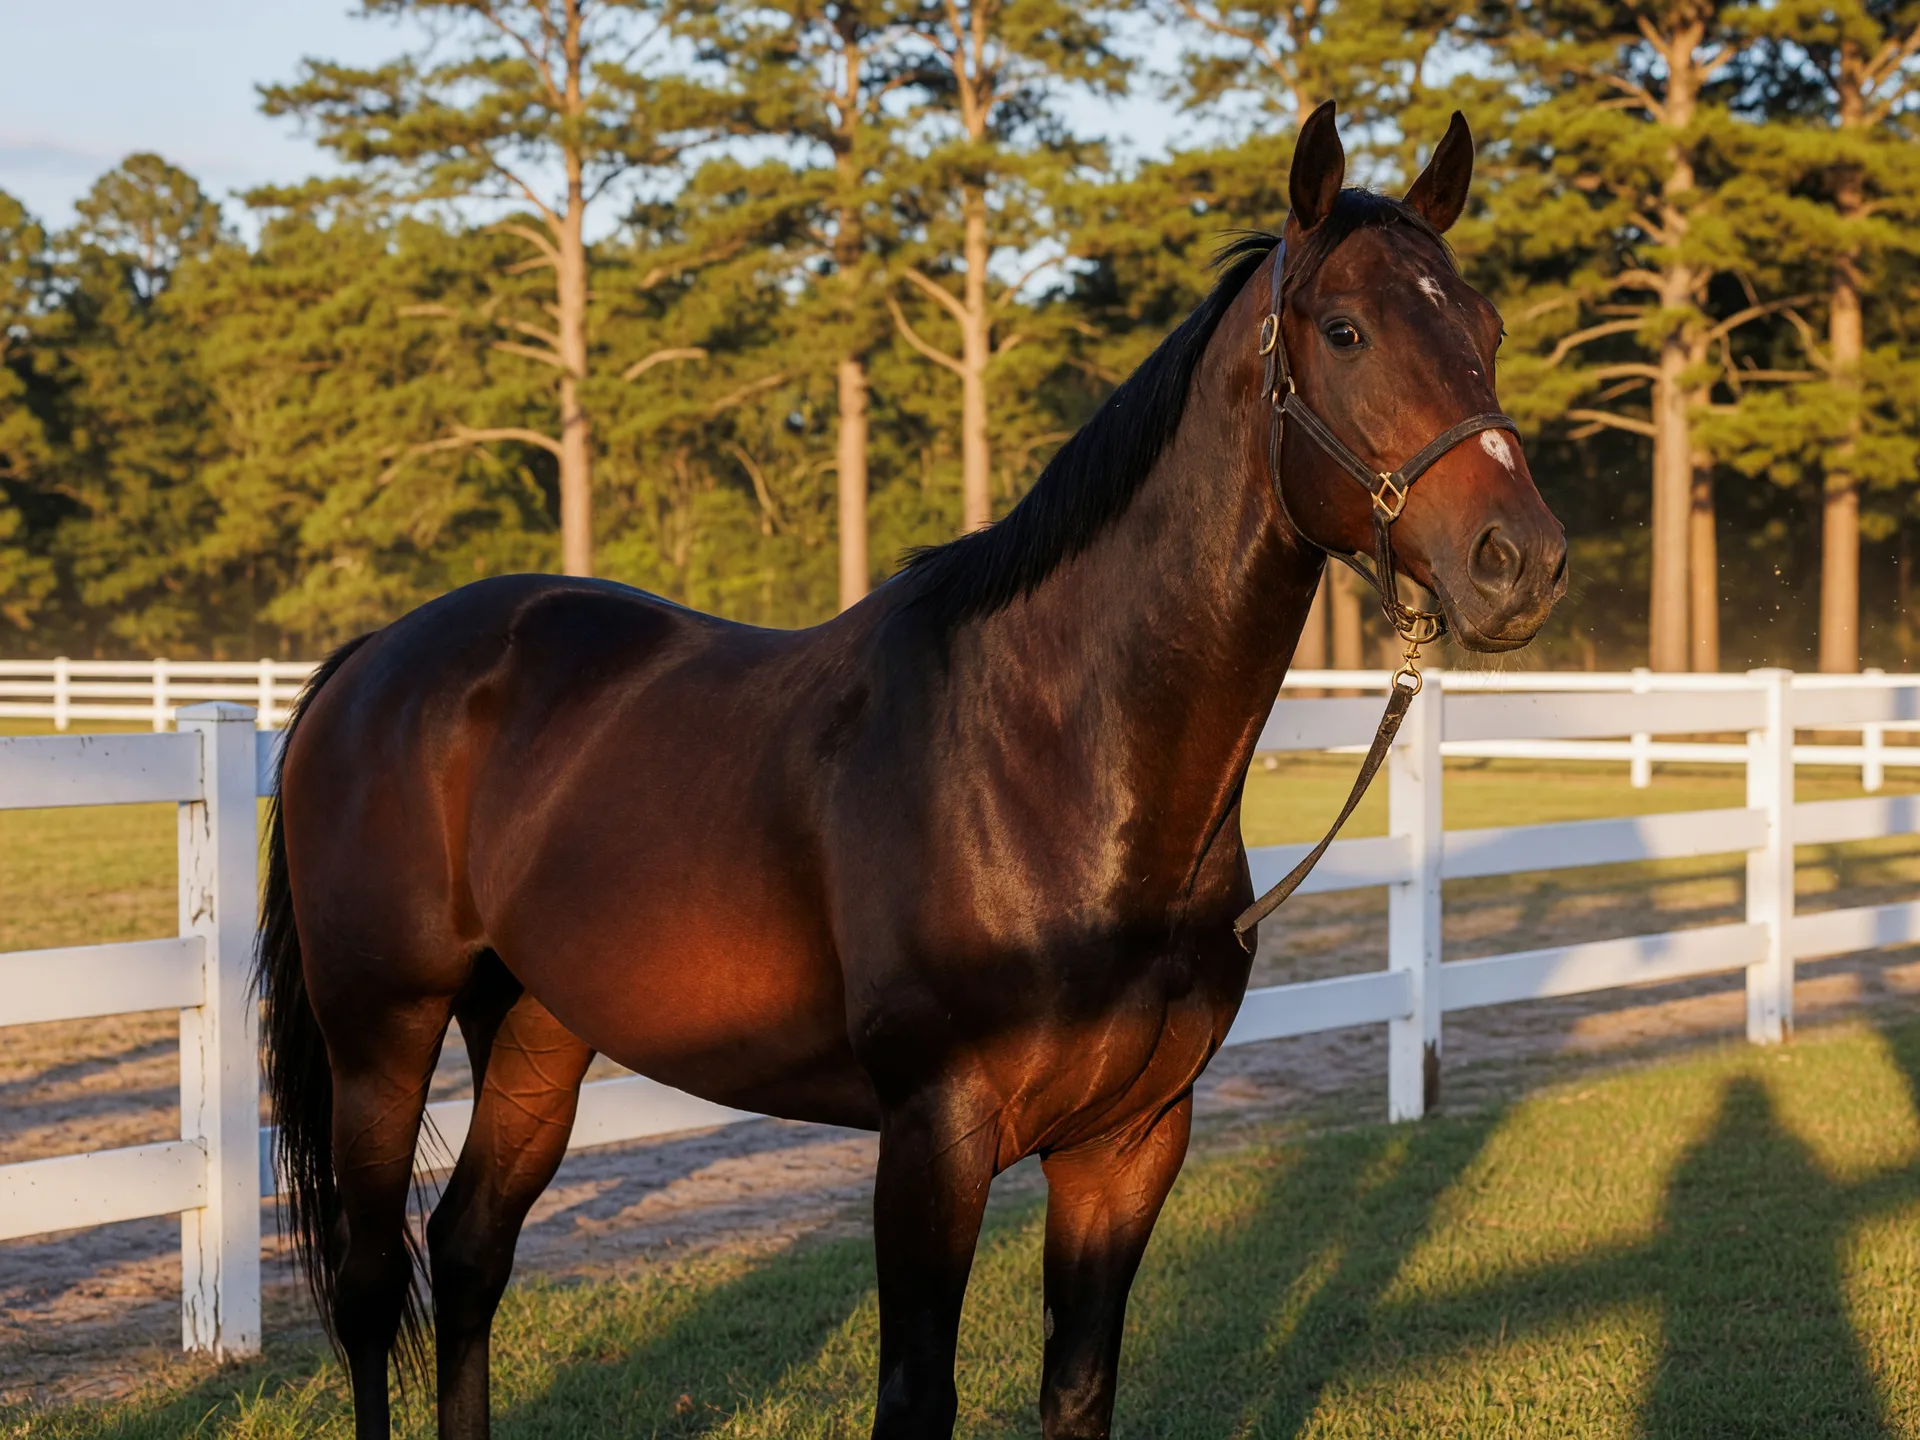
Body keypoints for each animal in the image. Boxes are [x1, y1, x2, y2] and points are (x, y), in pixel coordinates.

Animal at [256, 100, 1565, 1439]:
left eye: (1486, 328)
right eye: (1346, 330)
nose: (1520, 560)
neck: (1057, 762)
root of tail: (371, 663)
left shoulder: (1132, 1139)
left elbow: (1079, 1386)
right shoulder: (933, 1136)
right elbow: (914, 1396)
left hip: (535, 1029)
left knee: (471, 1253)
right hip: (382, 1031)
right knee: (375, 1287)